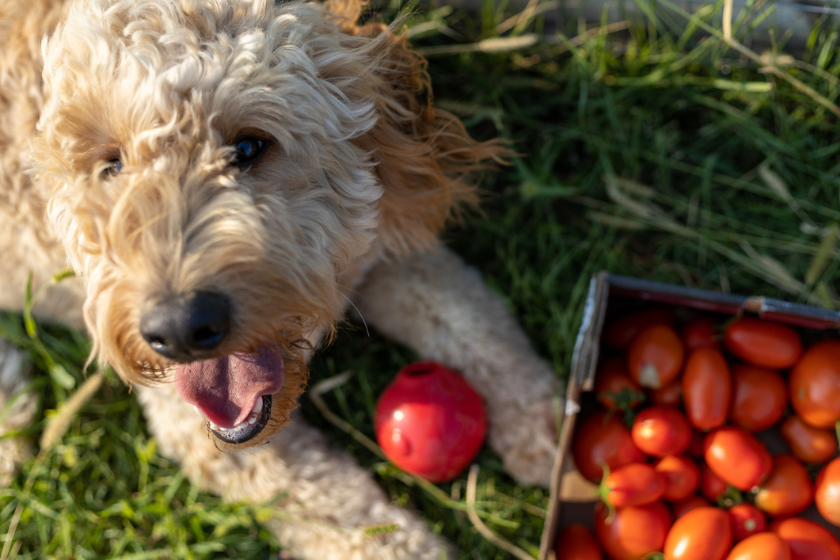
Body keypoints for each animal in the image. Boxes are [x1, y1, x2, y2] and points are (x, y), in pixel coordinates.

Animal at [1, 1, 564, 556]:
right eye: (111, 165)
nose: (180, 328)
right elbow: (344, 515)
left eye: (250, 147)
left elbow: (474, 322)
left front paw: (551, 429)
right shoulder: (203, 431)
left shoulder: (384, 248)